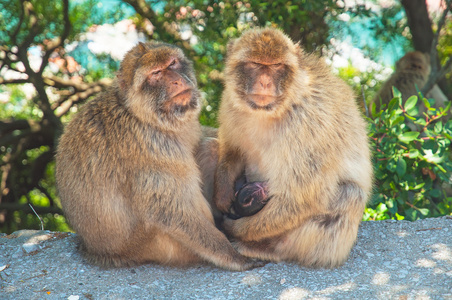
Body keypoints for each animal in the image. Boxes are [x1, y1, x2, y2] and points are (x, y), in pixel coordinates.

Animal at [55, 40, 264, 272]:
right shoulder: (149, 146)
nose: (175, 80)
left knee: (209, 148)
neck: (142, 115)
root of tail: (97, 251)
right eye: (155, 73)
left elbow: (199, 137)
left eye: (172, 64)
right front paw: (234, 257)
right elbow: (168, 211)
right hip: (159, 246)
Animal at [214, 27, 372, 268]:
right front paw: (222, 191)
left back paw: (267, 248)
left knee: (349, 193)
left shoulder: (310, 123)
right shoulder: (229, 103)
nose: (265, 83)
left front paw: (235, 228)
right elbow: (232, 148)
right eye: (255, 64)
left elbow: (300, 198)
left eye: (277, 66)